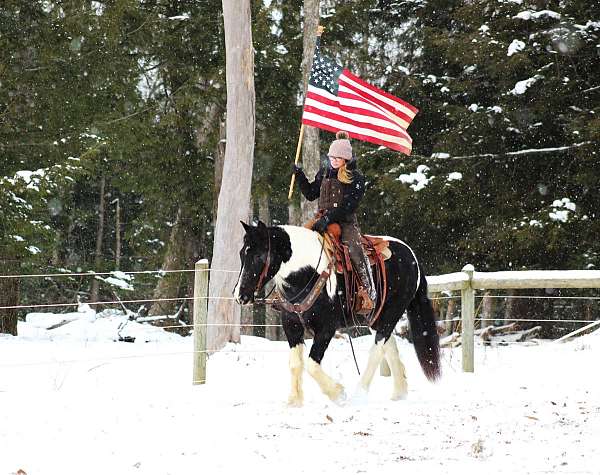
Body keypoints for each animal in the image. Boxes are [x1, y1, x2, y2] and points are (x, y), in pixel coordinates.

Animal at [234, 221, 440, 408]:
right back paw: (399, 392)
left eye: (259, 255)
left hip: (392, 313)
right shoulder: (291, 326)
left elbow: (311, 365)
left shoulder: (326, 328)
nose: (240, 295)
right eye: (242, 253)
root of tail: (411, 255)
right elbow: (295, 363)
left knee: (377, 348)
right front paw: (294, 400)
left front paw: (338, 393)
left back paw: (360, 393)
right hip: (376, 318)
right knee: (389, 345)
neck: (307, 273)